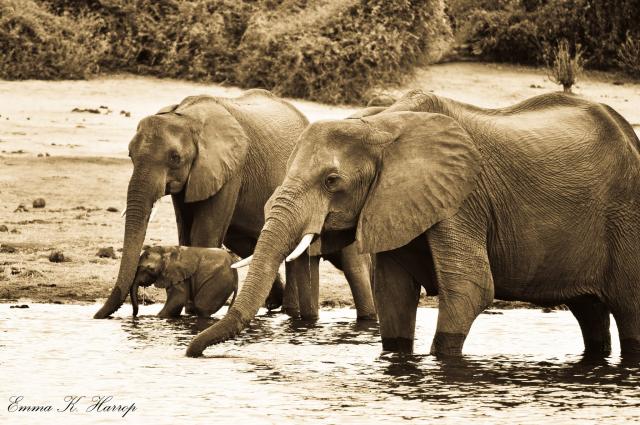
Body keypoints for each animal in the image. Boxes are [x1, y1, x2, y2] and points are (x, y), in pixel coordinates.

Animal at [93, 89, 376, 321]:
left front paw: (191, 311)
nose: (99, 317)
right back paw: (277, 306)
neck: (186, 117)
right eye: (130, 155)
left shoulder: (229, 169)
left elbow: (204, 232)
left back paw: (289, 311)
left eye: (175, 158)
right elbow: (185, 230)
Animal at [186, 90, 640, 359]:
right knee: (589, 310)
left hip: (626, 217)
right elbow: (392, 290)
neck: (383, 123)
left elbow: (471, 288)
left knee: (629, 309)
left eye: (332, 181)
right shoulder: (394, 201)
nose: (192, 354)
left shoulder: (462, 196)